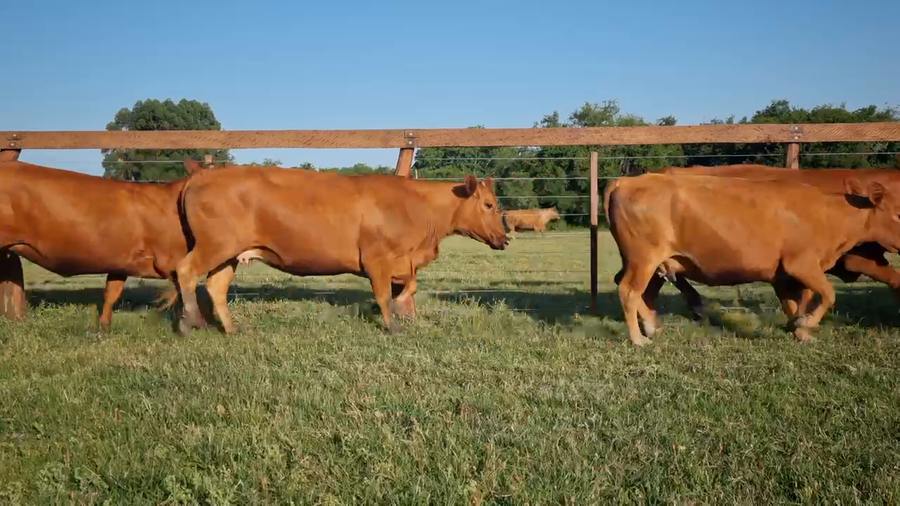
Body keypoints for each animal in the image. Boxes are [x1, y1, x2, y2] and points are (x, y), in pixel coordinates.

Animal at [169, 164, 510, 336]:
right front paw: (393, 323)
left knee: (215, 286)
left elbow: (410, 284)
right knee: (185, 271)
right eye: (488, 205)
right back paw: (190, 322)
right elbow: (384, 295)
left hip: (228, 255)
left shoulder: (402, 262)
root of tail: (201, 175)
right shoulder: (377, 259)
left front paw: (402, 307)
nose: (505, 239)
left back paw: (231, 328)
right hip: (214, 246)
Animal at [605, 172, 900, 346]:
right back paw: (638, 339)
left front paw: (799, 329)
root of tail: (626, 181)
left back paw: (652, 327)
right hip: (644, 258)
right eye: (898, 214)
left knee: (639, 290)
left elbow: (795, 303)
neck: (829, 214)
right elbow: (828, 294)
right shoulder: (801, 264)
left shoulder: (783, 275)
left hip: (654, 262)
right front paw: (806, 324)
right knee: (629, 291)